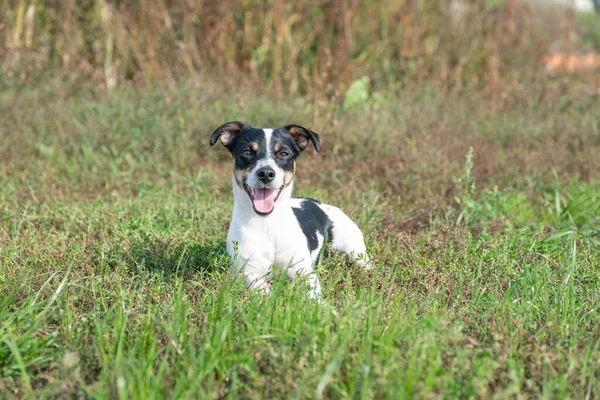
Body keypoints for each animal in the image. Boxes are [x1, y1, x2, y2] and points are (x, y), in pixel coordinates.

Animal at [211, 122, 370, 300]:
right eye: (246, 152)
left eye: (284, 153)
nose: (266, 173)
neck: (266, 222)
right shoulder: (244, 271)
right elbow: (256, 283)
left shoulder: (303, 270)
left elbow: (313, 294)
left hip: (354, 248)